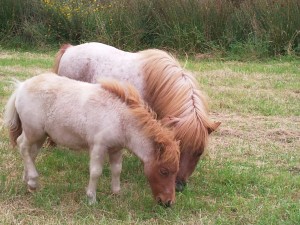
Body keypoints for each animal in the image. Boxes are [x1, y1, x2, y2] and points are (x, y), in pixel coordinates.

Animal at [4, 73, 178, 207]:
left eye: (175, 171)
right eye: (164, 171)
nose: (168, 202)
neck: (119, 118)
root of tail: (22, 86)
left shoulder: (116, 149)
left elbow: (117, 169)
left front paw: (116, 193)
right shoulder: (98, 146)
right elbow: (95, 172)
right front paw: (91, 199)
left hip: (41, 135)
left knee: (31, 152)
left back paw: (27, 180)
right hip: (34, 131)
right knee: (22, 145)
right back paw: (33, 180)